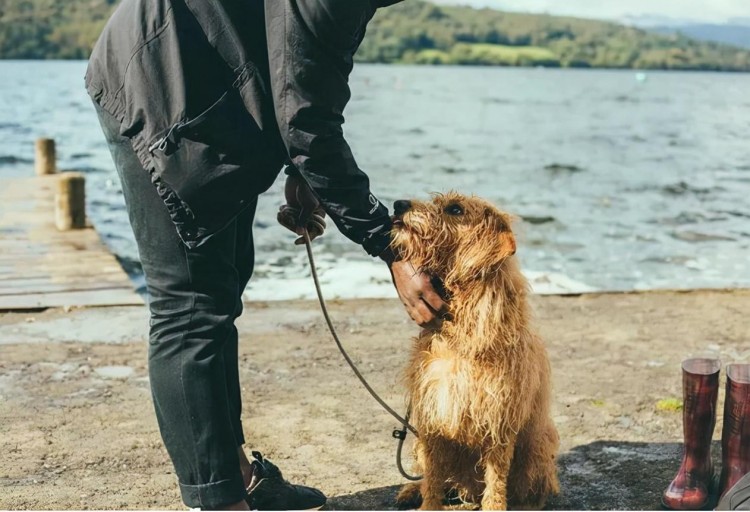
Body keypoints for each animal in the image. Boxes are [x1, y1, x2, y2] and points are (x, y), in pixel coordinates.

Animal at [394, 194, 560, 510]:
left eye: (455, 209)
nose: (398, 204)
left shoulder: (499, 422)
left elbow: (495, 483)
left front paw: (495, 505)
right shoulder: (433, 417)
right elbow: (433, 479)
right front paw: (427, 503)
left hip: (537, 445)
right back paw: (411, 491)